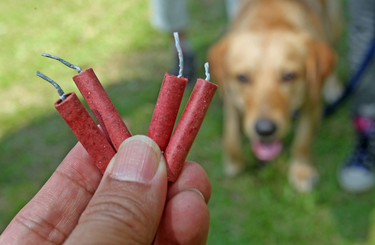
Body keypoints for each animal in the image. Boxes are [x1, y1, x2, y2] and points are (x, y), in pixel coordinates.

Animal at [209, 0, 344, 191]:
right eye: (242, 77)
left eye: (289, 75)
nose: (265, 130)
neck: (271, 19)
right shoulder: (230, 96)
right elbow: (231, 133)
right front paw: (234, 161)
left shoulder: (312, 102)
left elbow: (303, 140)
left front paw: (301, 169)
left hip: (334, 20)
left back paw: (332, 86)